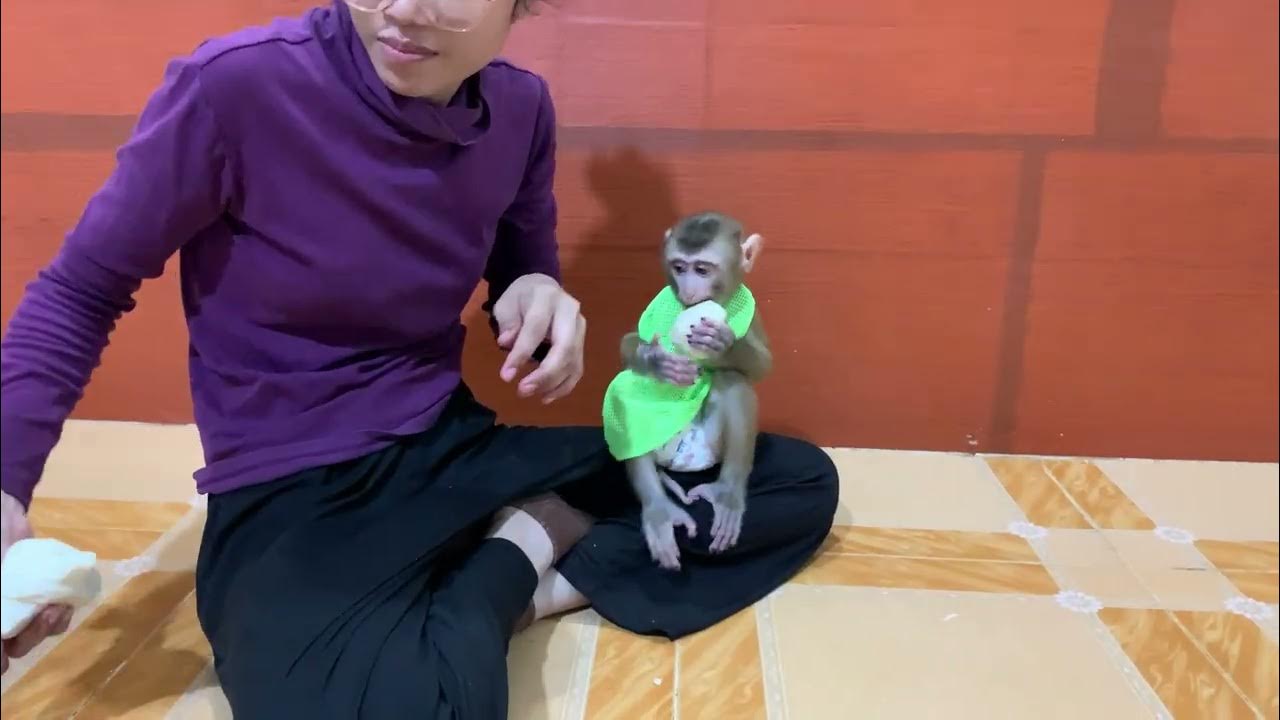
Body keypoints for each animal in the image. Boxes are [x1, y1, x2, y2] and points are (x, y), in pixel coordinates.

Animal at [601, 211, 771, 571]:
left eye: (702, 270)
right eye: (679, 267)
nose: (689, 291)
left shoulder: (754, 319)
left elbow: (763, 364)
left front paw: (723, 344)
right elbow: (627, 343)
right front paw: (654, 360)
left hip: (711, 450)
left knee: (732, 381)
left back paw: (727, 493)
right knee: (623, 392)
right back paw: (659, 509)